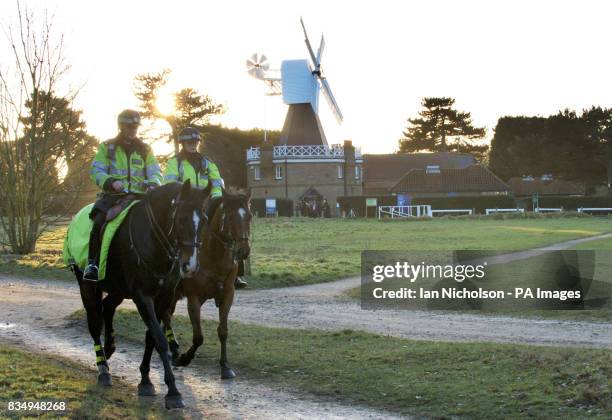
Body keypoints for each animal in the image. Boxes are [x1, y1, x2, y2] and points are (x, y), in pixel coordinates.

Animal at [71, 181, 210, 410]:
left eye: (205, 220)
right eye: (181, 219)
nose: (190, 265)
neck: (153, 240)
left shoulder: (163, 297)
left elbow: (151, 336)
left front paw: (145, 380)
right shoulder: (142, 296)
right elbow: (159, 339)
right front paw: (173, 392)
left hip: (118, 289)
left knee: (107, 307)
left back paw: (110, 346)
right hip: (87, 286)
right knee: (94, 324)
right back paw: (103, 368)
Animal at [161, 189, 252, 378]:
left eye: (249, 216)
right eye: (230, 216)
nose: (244, 250)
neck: (213, 256)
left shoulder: (227, 296)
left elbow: (223, 331)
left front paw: (225, 366)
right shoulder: (194, 299)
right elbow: (198, 337)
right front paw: (185, 358)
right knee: (165, 316)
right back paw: (173, 350)